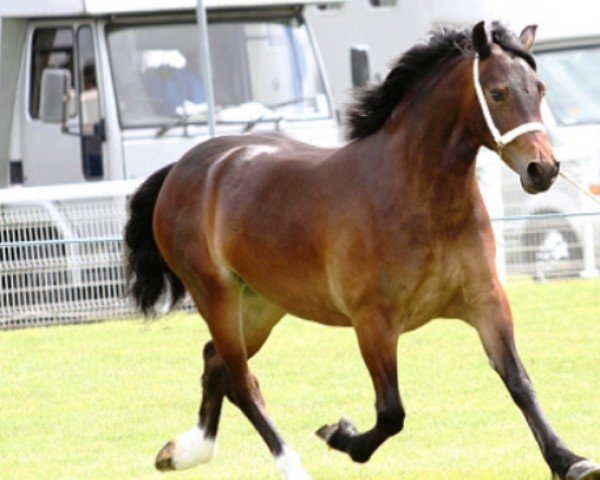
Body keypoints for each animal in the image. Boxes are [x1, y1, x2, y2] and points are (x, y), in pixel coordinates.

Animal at [124, 20, 596, 478]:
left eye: (540, 90)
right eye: (497, 92)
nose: (543, 169)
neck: (418, 196)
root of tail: (185, 166)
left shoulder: (486, 302)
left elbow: (519, 383)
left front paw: (570, 461)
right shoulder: (373, 323)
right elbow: (391, 413)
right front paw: (340, 435)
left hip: (260, 305)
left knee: (216, 363)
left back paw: (184, 452)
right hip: (215, 296)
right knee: (243, 382)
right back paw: (290, 466)